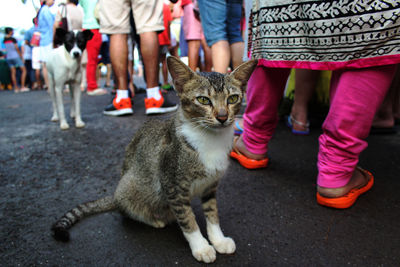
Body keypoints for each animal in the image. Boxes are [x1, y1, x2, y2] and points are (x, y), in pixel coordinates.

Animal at [51, 56, 258, 264]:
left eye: (232, 99)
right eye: (203, 100)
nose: (222, 117)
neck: (210, 139)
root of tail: (115, 195)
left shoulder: (210, 186)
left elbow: (212, 214)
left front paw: (218, 240)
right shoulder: (172, 184)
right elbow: (187, 219)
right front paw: (201, 246)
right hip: (131, 186)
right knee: (128, 210)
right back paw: (155, 219)